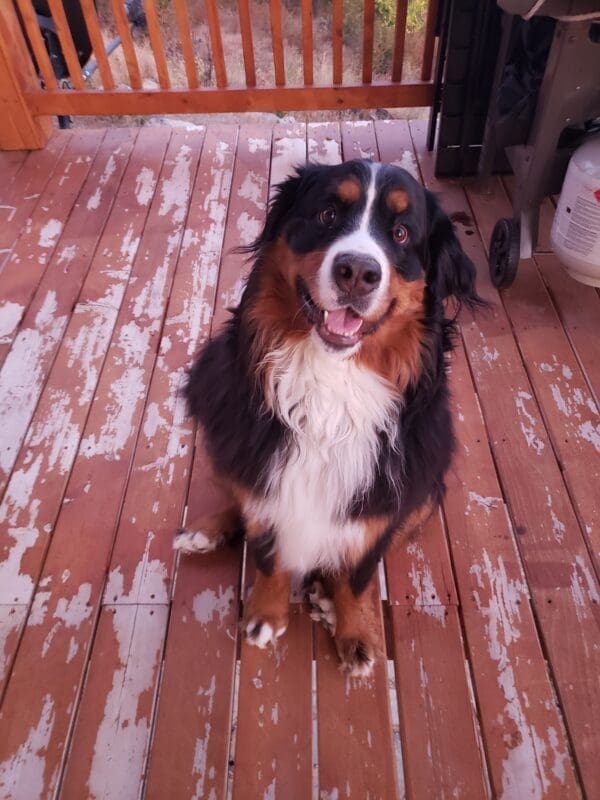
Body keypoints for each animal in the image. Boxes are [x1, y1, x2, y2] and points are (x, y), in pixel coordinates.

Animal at [173, 158, 482, 676]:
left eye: (401, 233)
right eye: (327, 215)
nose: (357, 271)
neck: (332, 389)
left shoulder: (383, 499)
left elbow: (359, 572)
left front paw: (355, 631)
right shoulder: (266, 476)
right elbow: (267, 551)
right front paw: (266, 615)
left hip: (427, 492)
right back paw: (206, 531)